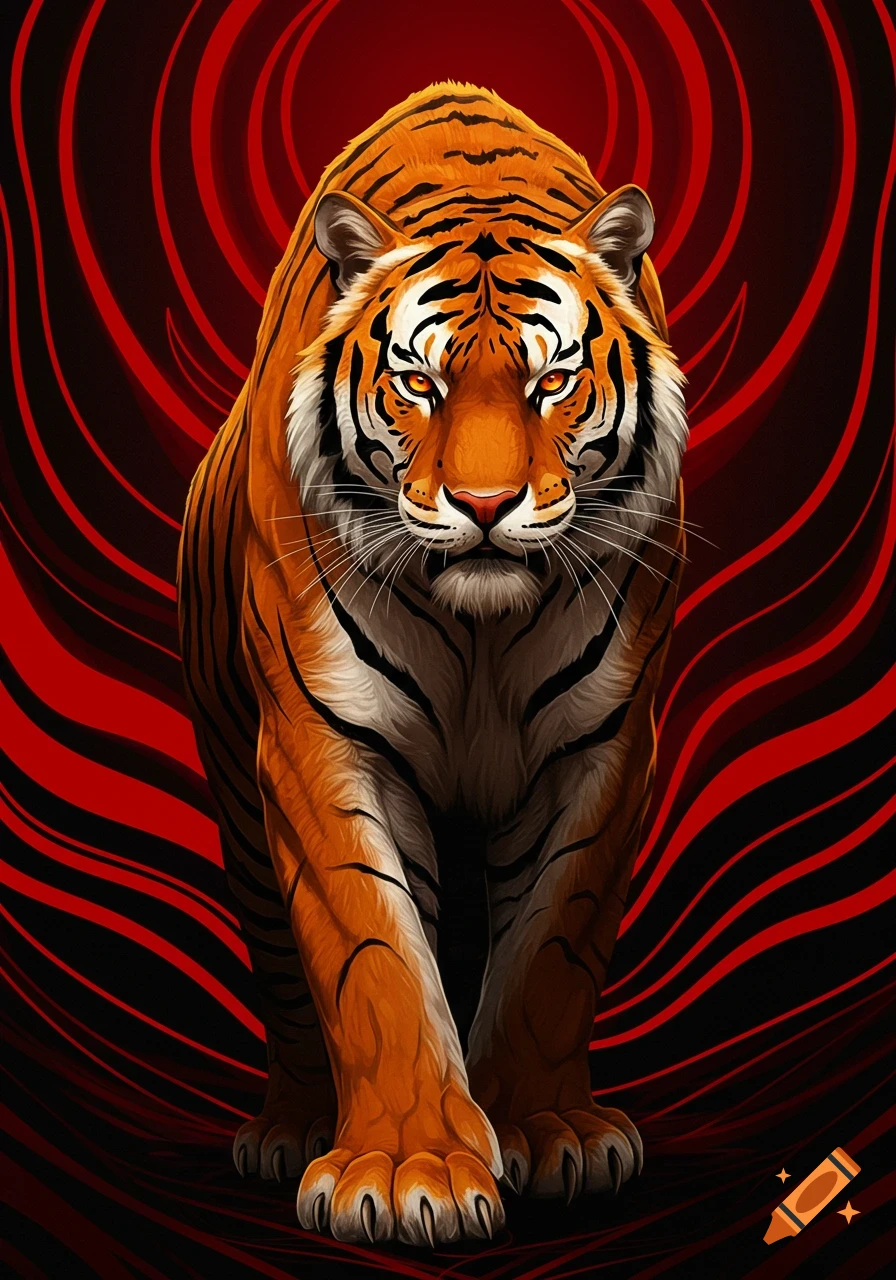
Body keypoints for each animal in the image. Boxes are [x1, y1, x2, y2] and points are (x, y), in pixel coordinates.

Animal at [178, 81, 687, 1248]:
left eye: (552, 381)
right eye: (417, 381)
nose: (486, 505)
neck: (481, 627)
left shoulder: (602, 746)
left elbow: (552, 947)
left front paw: (547, 1130)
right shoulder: (321, 740)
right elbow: (372, 956)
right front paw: (410, 1167)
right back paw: (290, 1125)